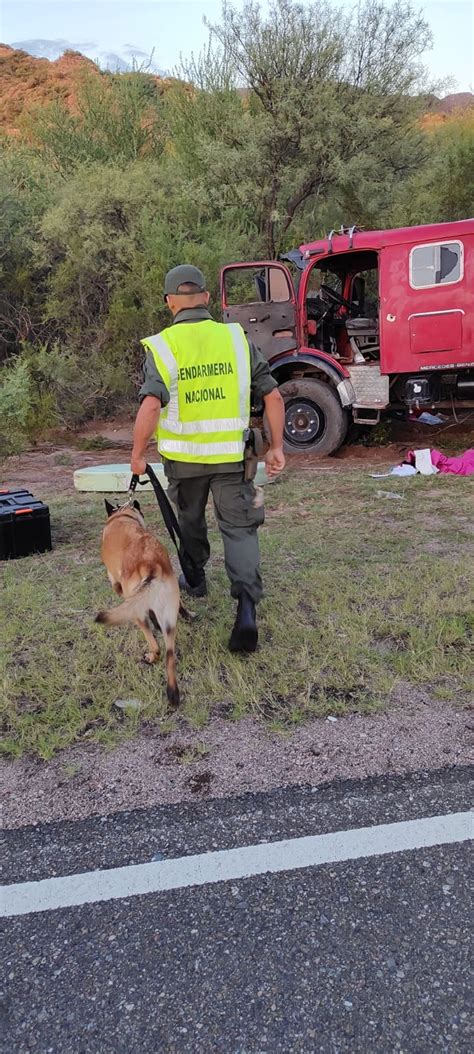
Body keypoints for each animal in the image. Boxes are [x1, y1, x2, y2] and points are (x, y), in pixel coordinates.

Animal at [94, 501, 181, 708]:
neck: (122, 516)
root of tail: (152, 565)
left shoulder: (114, 580)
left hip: (136, 613)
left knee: (156, 647)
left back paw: (151, 658)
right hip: (168, 620)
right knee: (170, 656)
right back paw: (172, 693)